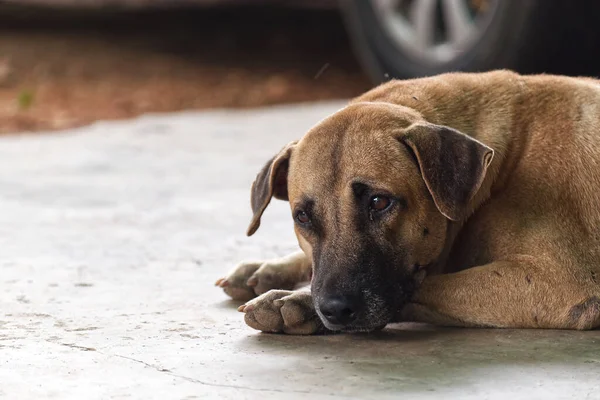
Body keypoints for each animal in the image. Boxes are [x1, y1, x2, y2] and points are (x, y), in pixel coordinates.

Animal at [216, 71, 600, 334]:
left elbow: (422, 286)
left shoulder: (557, 283)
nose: (335, 309)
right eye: (303, 217)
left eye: (379, 202)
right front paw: (272, 270)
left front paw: (296, 301)